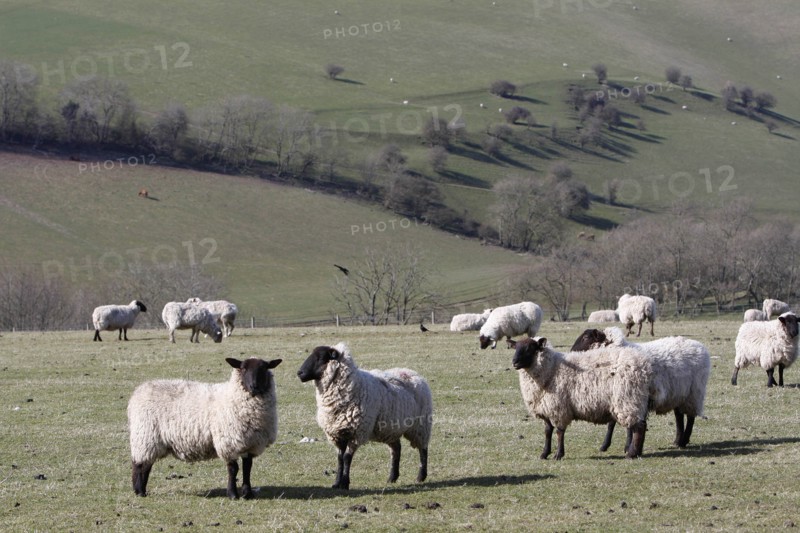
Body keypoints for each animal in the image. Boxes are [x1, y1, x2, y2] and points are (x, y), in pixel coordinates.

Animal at [128, 357, 282, 499]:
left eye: (264, 368)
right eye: (243, 368)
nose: (254, 386)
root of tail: (139, 391)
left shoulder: (251, 444)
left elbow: (247, 468)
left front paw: (247, 493)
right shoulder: (228, 442)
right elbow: (233, 469)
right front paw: (232, 494)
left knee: (145, 465)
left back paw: (140, 490)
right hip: (145, 437)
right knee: (140, 465)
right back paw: (140, 492)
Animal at [296, 342, 432, 490]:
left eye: (320, 358)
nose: (299, 373)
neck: (352, 387)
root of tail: (414, 374)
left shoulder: (356, 432)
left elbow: (346, 458)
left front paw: (345, 483)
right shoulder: (338, 434)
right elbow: (339, 458)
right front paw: (336, 483)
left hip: (420, 425)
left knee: (423, 449)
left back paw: (421, 476)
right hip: (391, 430)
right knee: (396, 449)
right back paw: (392, 477)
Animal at [512, 337, 652, 460]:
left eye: (530, 348)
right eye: (515, 347)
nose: (514, 362)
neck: (552, 369)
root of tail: (644, 366)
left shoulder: (559, 408)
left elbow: (559, 432)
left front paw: (558, 454)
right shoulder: (545, 408)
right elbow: (547, 431)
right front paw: (544, 453)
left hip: (628, 398)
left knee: (639, 427)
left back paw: (631, 453)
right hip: (630, 401)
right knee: (638, 426)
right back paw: (636, 452)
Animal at [570, 327, 710, 450]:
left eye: (586, 337)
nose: (571, 352)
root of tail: (699, 345)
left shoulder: (629, 395)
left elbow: (626, 425)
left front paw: (627, 446)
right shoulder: (616, 396)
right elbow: (611, 424)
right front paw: (605, 446)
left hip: (694, 392)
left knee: (690, 417)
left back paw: (684, 441)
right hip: (678, 393)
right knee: (679, 416)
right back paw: (677, 441)